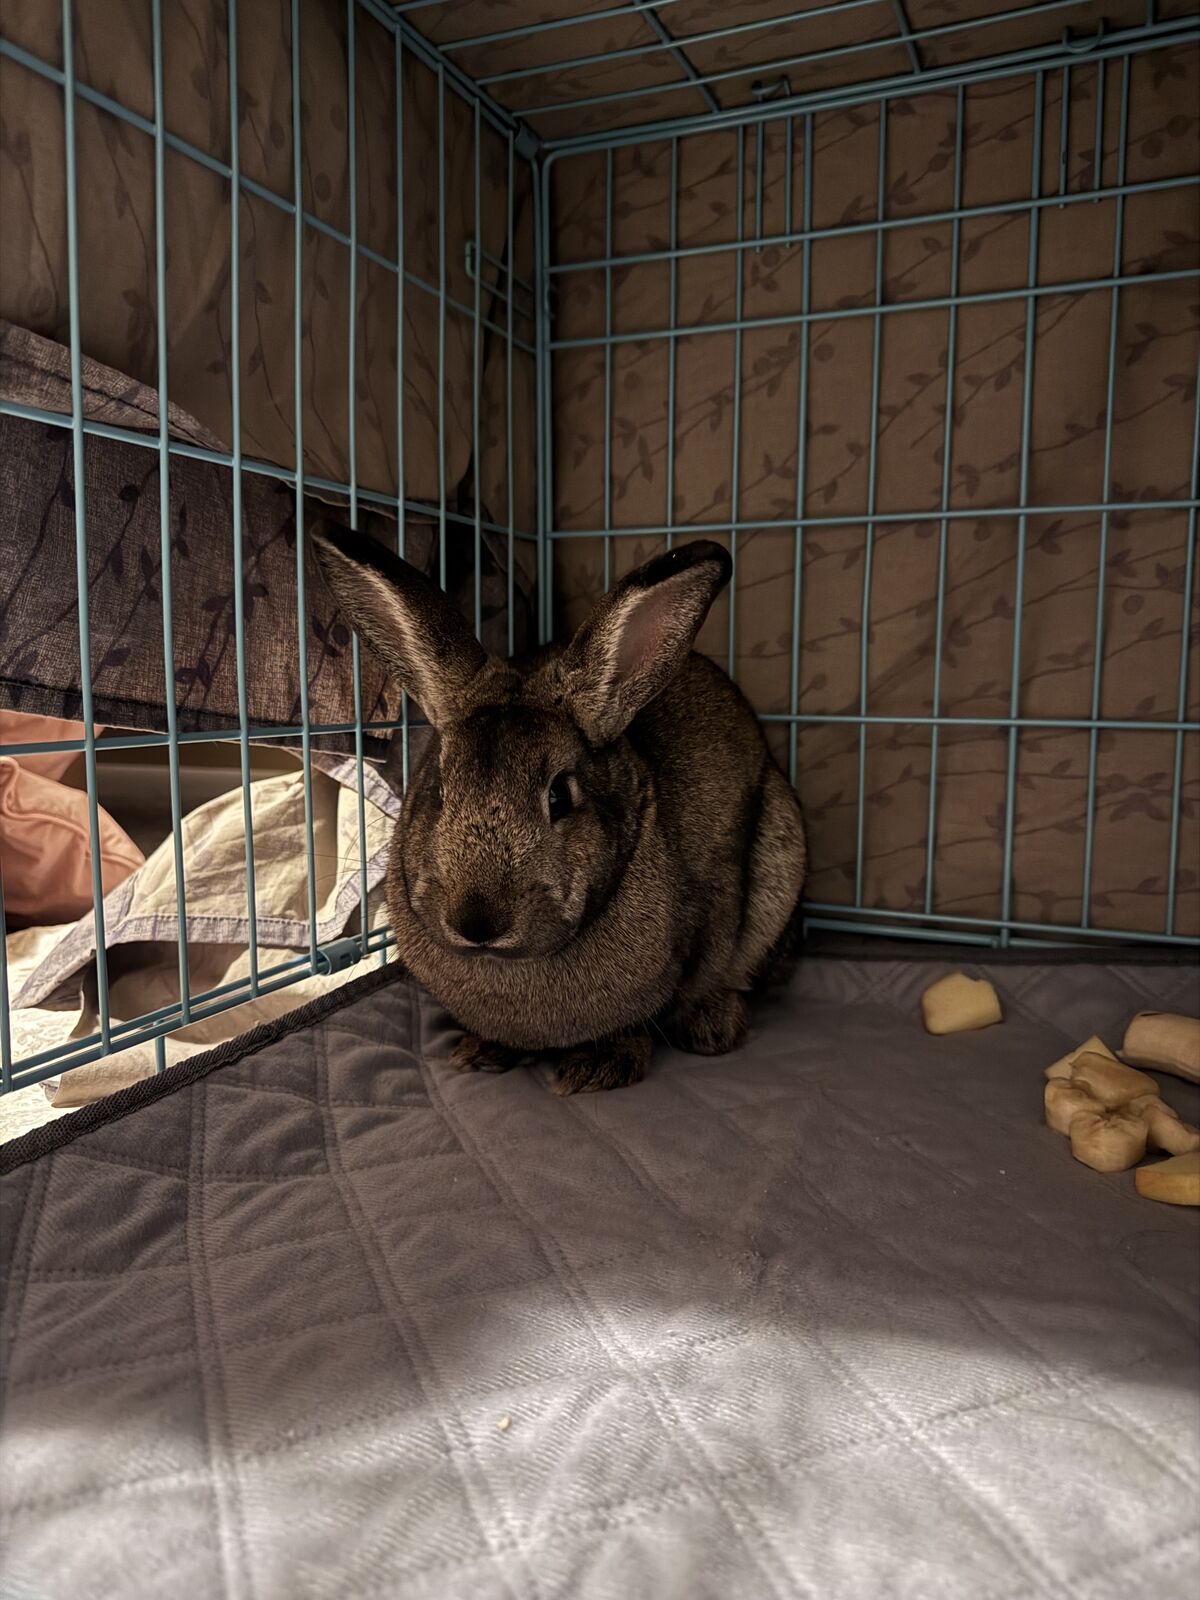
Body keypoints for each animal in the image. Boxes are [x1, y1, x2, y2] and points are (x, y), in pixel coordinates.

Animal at [312, 520, 807, 1094]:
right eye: (438, 791)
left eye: (559, 796)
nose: (477, 922)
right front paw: (482, 1052)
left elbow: (642, 1019)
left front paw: (599, 1066)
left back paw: (712, 1028)